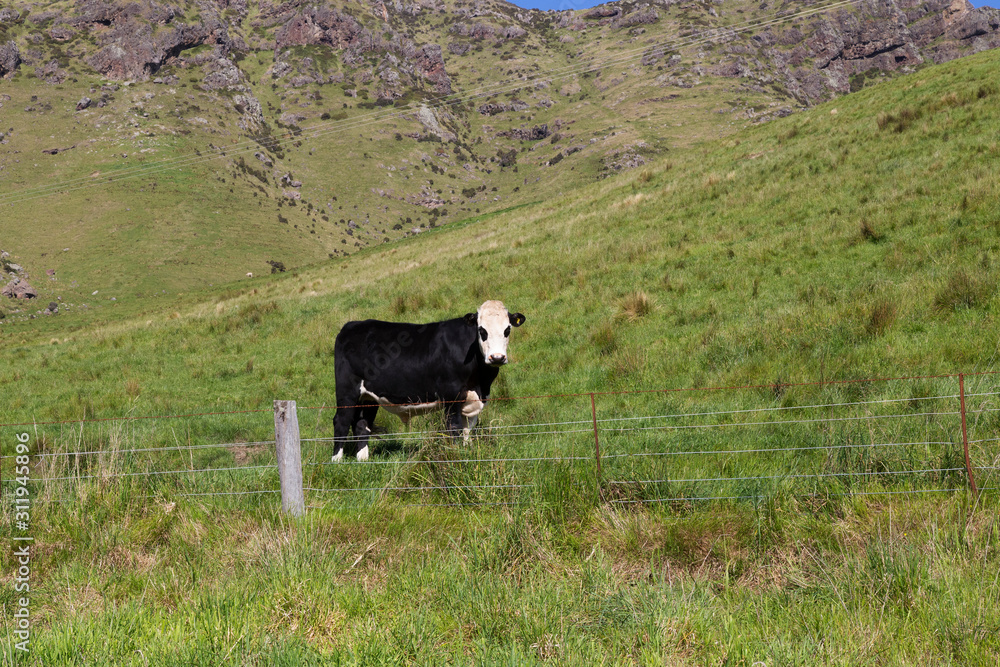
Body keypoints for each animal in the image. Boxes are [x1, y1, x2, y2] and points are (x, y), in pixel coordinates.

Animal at [331, 300, 526, 461]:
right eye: (481, 330)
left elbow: (467, 430)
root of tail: (352, 325)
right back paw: (336, 461)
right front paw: (455, 457)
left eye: (507, 329)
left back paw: (363, 460)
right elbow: (454, 428)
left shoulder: (473, 399)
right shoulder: (451, 396)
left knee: (362, 424)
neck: (480, 382)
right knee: (341, 421)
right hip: (347, 391)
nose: (497, 357)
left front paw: (466, 453)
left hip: (369, 398)